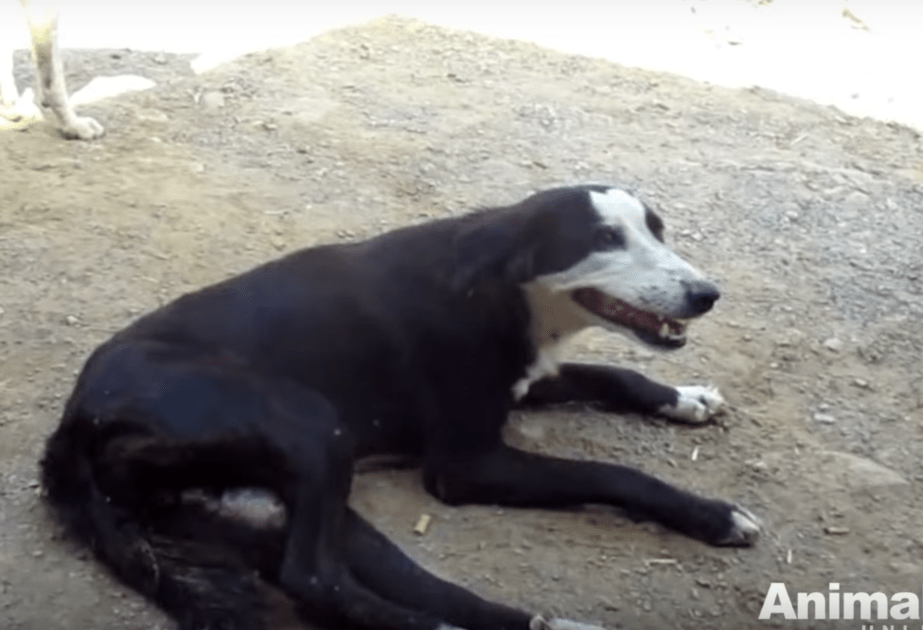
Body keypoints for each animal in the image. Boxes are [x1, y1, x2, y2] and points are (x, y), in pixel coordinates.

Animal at [41, 184, 756, 630]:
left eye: (657, 231)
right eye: (604, 238)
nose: (707, 294)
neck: (501, 285)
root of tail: (72, 426)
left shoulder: (526, 381)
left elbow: (614, 376)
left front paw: (684, 398)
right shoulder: (466, 465)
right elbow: (610, 474)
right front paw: (710, 513)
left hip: (301, 507)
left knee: (358, 581)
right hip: (313, 425)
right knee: (314, 579)